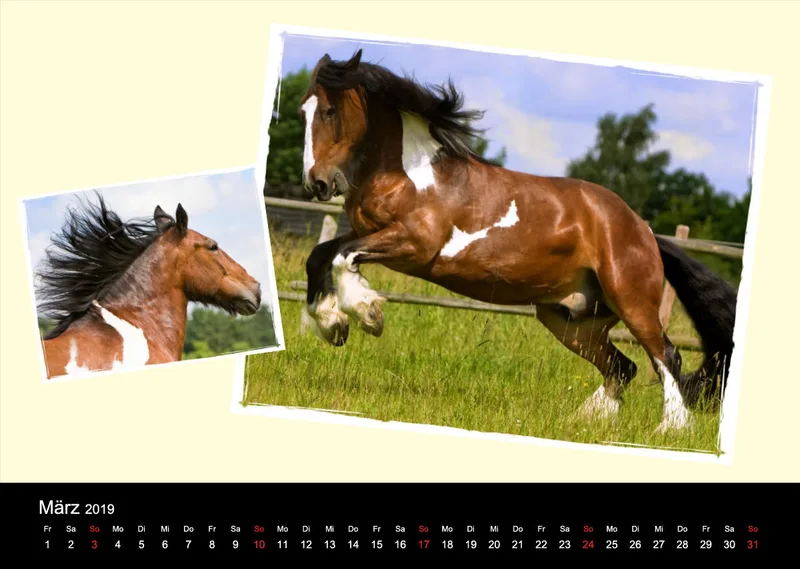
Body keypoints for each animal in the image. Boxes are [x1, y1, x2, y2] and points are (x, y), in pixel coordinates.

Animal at [295, 49, 739, 434]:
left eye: (330, 111)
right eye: (303, 111)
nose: (318, 184)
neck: (410, 175)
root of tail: (643, 229)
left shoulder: (414, 247)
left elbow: (343, 258)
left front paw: (367, 314)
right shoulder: (369, 233)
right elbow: (320, 255)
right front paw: (332, 324)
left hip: (631, 300)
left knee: (665, 356)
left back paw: (671, 428)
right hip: (570, 318)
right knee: (622, 367)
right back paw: (584, 421)